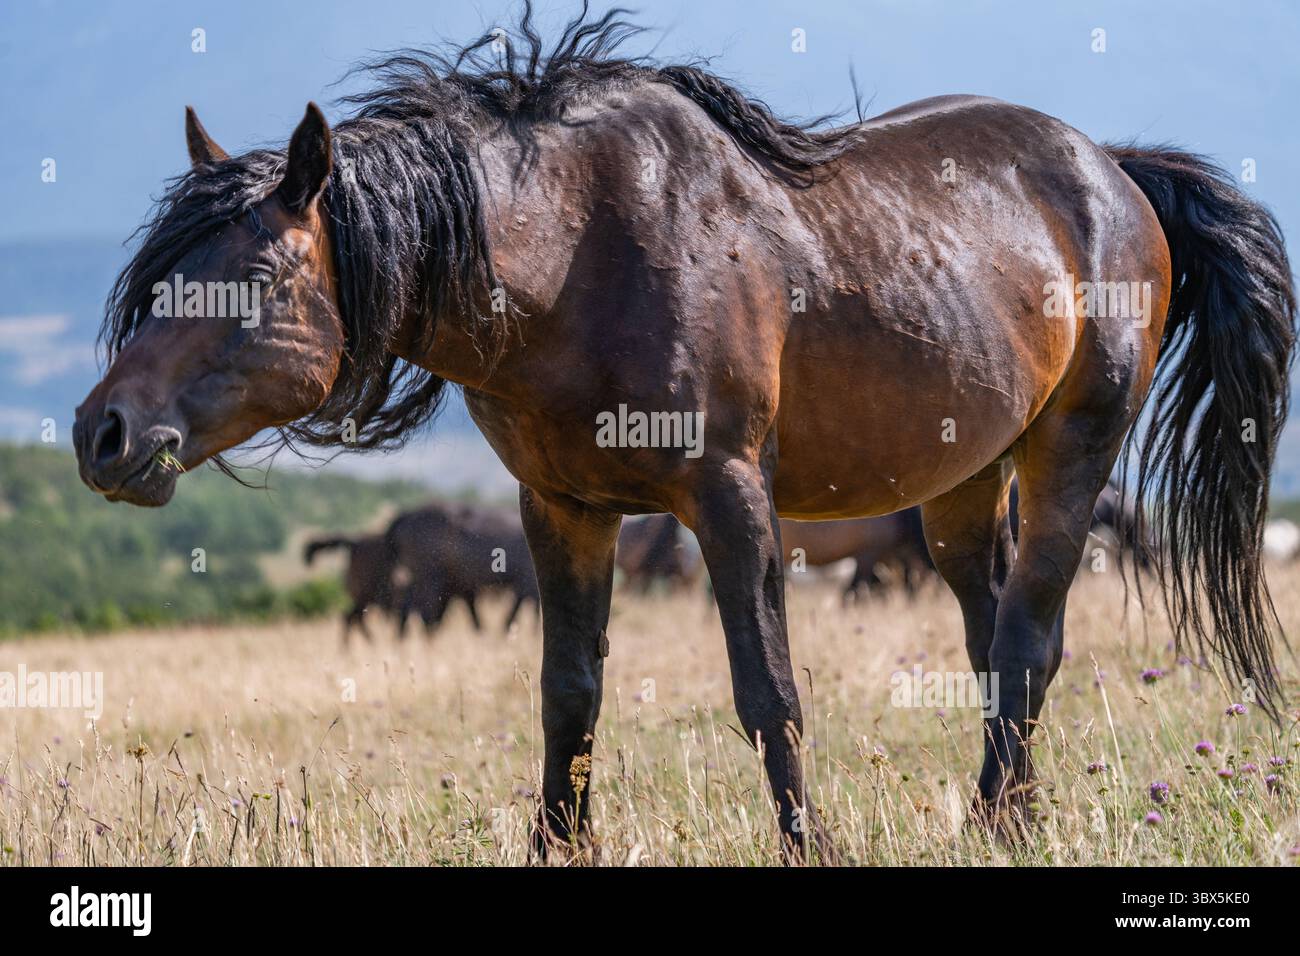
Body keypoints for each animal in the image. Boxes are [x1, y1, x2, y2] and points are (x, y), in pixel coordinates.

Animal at [72, 7, 1295, 860]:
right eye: (166, 275)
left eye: (255, 276)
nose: (103, 433)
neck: (574, 261)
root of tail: (1114, 171)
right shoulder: (561, 511)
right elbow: (569, 692)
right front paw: (555, 846)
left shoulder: (730, 495)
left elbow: (768, 691)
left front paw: (811, 846)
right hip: (959, 484)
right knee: (993, 638)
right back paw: (1014, 820)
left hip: (1070, 450)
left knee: (1030, 637)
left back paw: (998, 823)